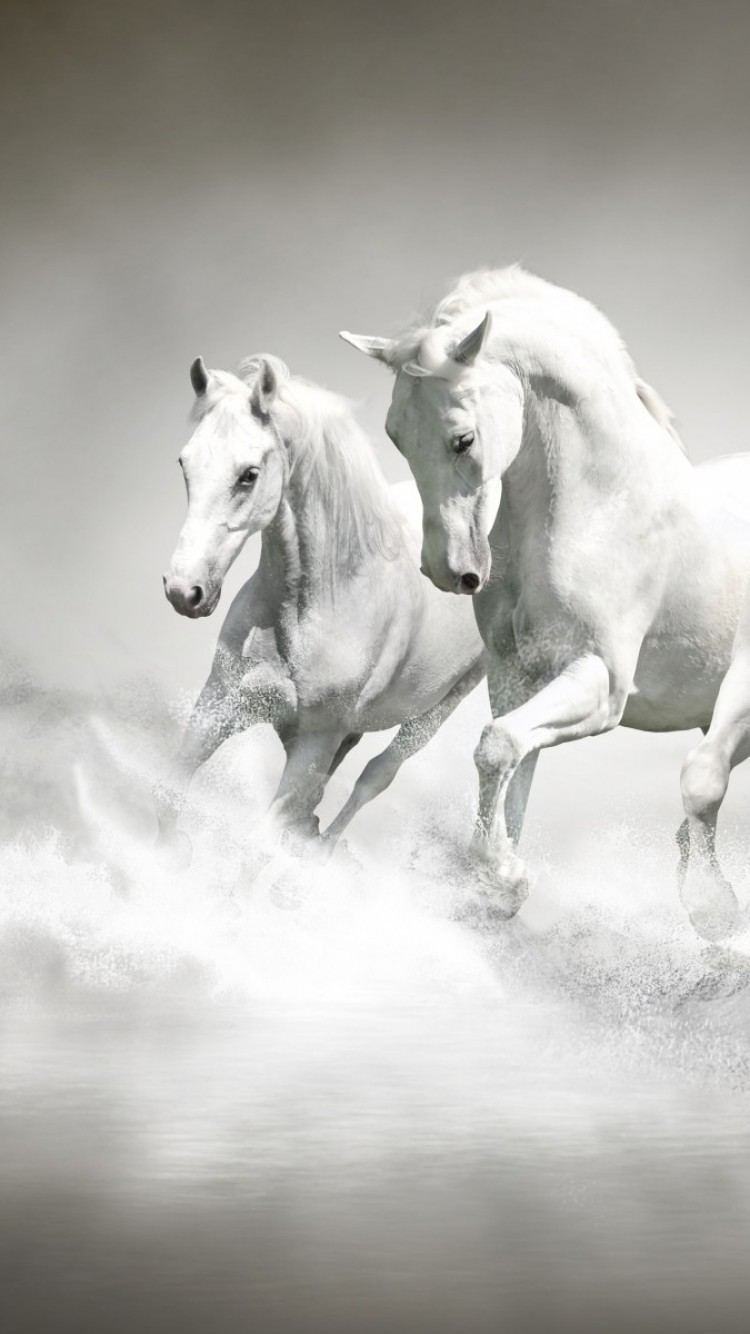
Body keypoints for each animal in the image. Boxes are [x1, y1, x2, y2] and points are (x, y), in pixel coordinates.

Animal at [157, 353, 486, 865]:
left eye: (248, 474)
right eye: (184, 463)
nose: (184, 591)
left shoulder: (314, 742)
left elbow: (260, 845)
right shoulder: (220, 703)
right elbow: (169, 797)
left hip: (442, 706)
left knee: (376, 774)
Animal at [341, 266, 750, 939]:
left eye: (463, 439)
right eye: (395, 436)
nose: (448, 570)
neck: (604, 504)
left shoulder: (603, 682)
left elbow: (503, 748)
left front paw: (711, 909)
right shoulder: (519, 676)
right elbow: (506, 761)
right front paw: (497, 884)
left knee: (705, 774)